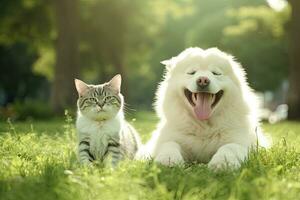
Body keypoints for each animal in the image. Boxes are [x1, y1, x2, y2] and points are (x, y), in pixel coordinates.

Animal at [139, 47, 270, 170]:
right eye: (191, 72)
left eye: (216, 73)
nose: (203, 80)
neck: (204, 128)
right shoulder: (167, 140)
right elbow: (169, 145)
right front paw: (167, 161)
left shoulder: (240, 141)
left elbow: (229, 147)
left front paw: (222, 164)